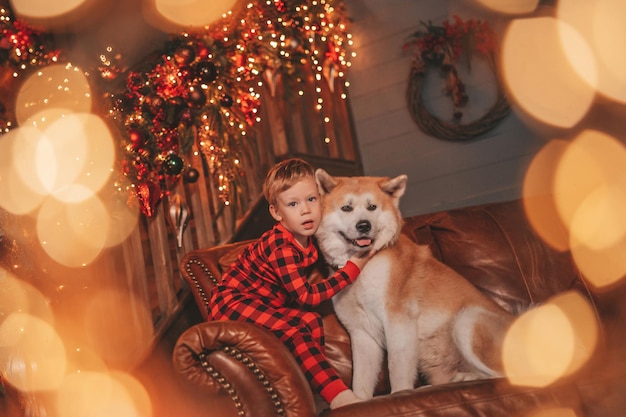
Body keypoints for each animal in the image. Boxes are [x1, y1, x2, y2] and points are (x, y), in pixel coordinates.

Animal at [312, 170, 512, 400]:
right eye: (347, 207)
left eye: (372, 207)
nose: (364, 225)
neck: (364, 265)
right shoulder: (361, 334)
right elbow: (360, 383)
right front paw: (359, 402)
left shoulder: (398, 320)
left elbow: (397, 367)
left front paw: (400, 393)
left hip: (467, 320)